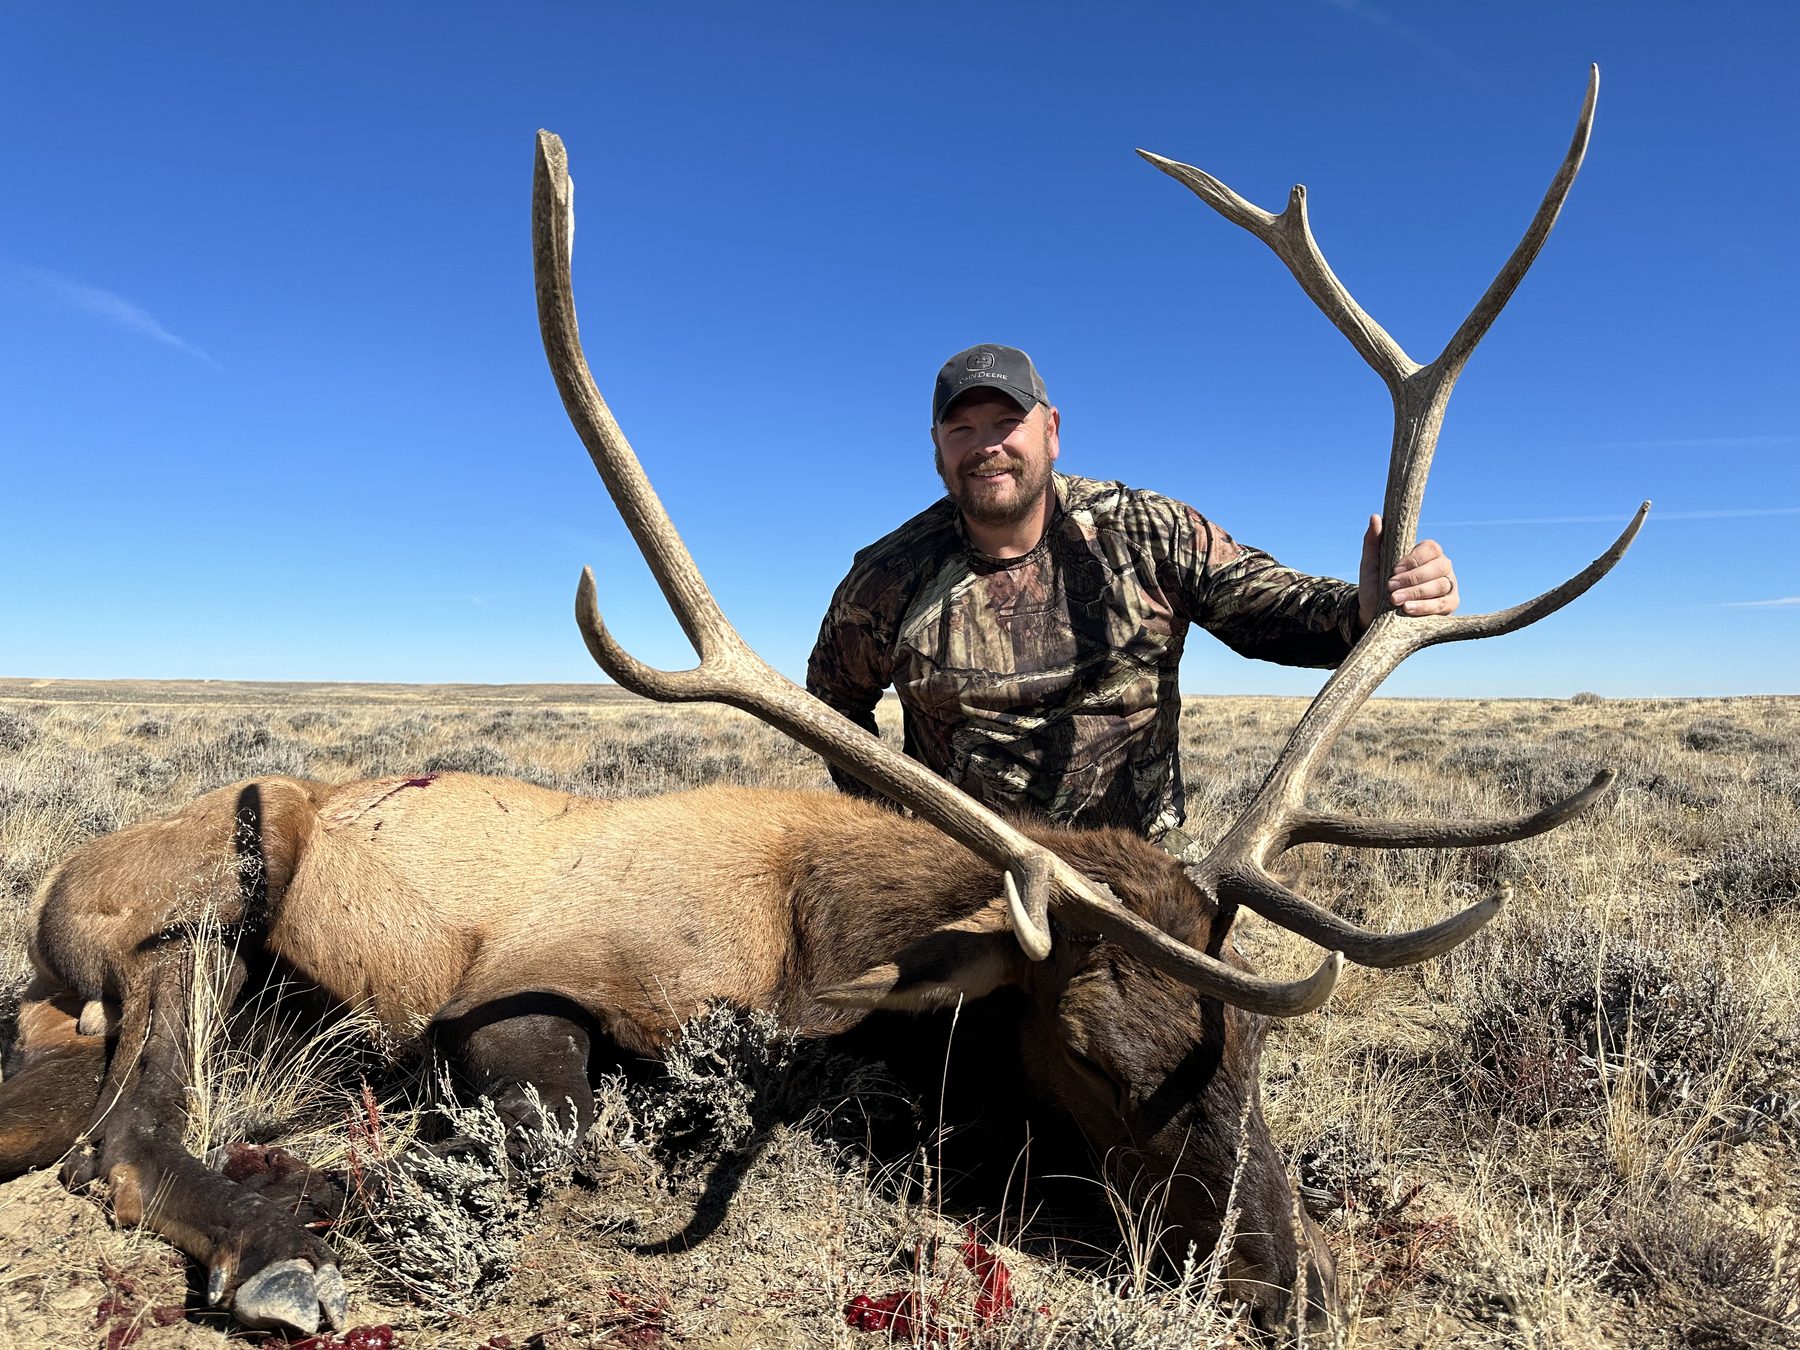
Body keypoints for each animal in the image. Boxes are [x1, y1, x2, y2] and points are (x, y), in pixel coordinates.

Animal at [0, 68, 1640, 1339]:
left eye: (1252, 1054)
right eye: (1094, 1058)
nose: (1292, 1288)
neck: (824, 946)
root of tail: (55, 904)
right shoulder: (516, 986)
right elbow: (547, 1118)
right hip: (198, 907)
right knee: (120, 1132)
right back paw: (281, 1247)